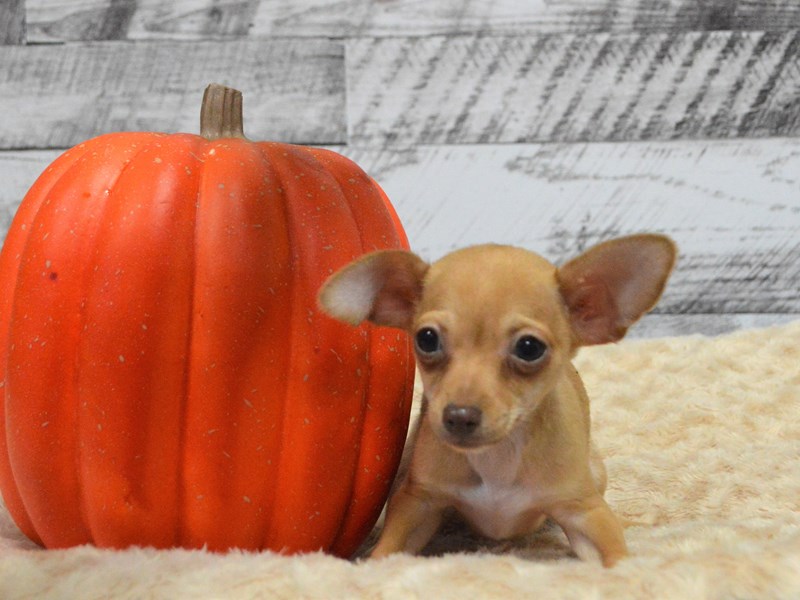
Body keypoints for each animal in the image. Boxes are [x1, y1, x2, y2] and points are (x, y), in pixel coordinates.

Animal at [318, 234, 676, 568]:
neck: (498, 458)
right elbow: (388, 550)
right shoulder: (418, 502)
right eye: (426, 339)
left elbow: (616, 555)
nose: (459, 415)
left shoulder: (584, 512)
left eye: (529, 348)